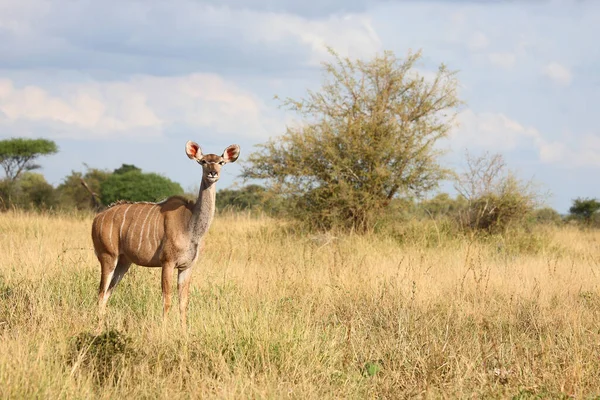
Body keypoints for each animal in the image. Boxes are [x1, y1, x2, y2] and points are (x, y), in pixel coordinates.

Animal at [91, 142, 239, 326]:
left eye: (221, 162)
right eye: (203, 161)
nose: (213, 173)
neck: (190, 227)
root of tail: (97, 218)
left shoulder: (187, 267)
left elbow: (183, 302)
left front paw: (184, 331)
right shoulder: (167, 263)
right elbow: (167, 300)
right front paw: (164, 329)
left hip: (124, 262)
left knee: (107, 294)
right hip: (108, 257)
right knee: (101, 294)